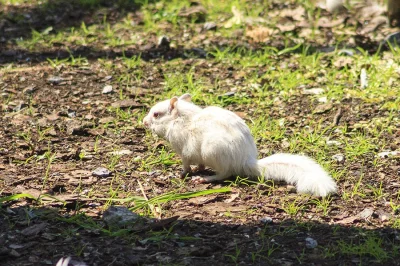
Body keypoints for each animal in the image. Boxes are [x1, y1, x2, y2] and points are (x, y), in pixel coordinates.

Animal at [142, 93, 336, 195]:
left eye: (156, 115)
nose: (144, 122)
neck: (181, 119)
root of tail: (244, 161)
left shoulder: (184, 150)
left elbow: (186, 165)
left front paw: (182, 174)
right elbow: (199, 164)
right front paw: (198, 169)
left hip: (213, 151)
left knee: (225, 173)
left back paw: (205, 179)